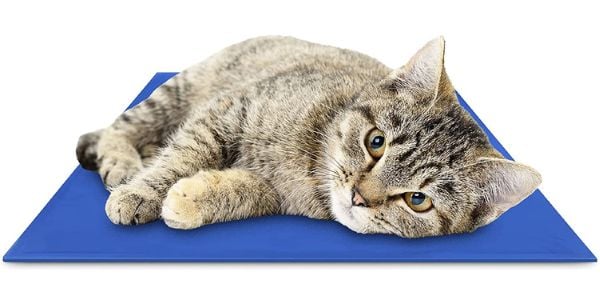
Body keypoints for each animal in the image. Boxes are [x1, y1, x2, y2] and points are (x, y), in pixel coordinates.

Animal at [76, 35, 544, 237]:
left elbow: (240, 192)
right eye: (375, 142)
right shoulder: (228, 111)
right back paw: (123, 163)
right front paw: (143, 192)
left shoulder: (271, 193)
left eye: (417, 200)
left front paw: (191, 199)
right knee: (122, 126)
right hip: (179, 91)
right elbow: (183, 155)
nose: (359, 196)